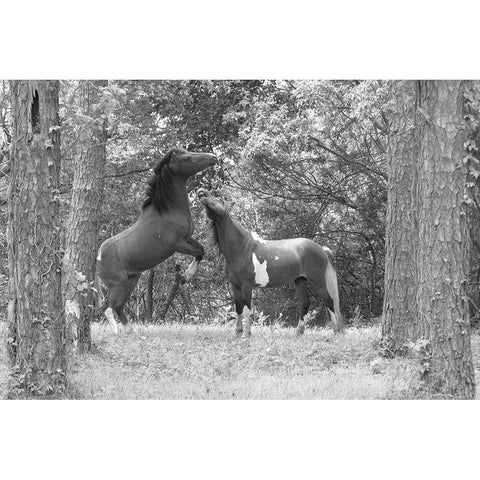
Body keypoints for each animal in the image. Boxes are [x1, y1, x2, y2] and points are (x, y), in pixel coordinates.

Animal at [95, 148, 216, 332]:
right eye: (187, 157)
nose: (213, 157)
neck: (166, 210)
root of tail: (98, 256)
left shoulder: (187, 238)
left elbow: (201, 250)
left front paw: (185, 276)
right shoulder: (176, 244)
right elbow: (198, 253)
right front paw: (186, 277)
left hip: (131, 280)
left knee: (118, 306)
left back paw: (130, 331)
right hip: (118, 284)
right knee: (108, 307)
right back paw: (117, 332)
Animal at [197, 188, 344, 338]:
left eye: (219, 200)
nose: (202, 192)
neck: (243, 249)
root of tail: (322, 249)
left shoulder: (246, 286)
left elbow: (246, 309)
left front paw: (247, 334)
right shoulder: (235, 286)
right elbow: (238, 308)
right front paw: (237, 333)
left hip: (318, 281)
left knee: (329, 301)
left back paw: (336, 332)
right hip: (300, 280)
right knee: (305, 304)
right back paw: (299, 332)